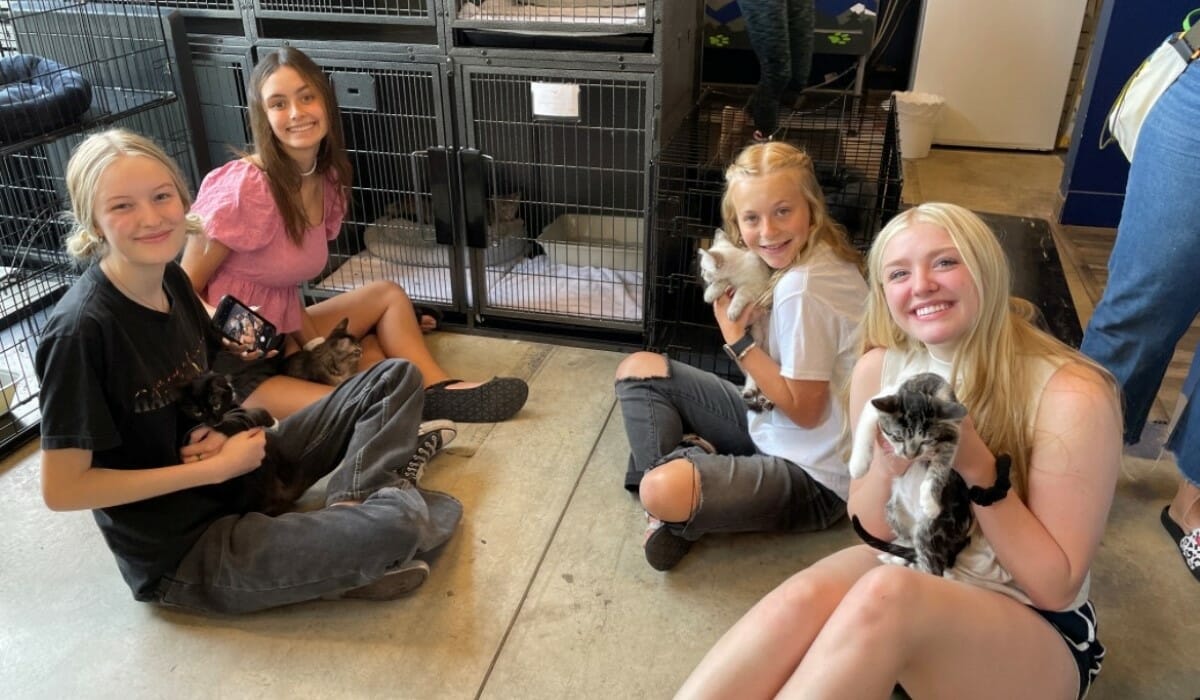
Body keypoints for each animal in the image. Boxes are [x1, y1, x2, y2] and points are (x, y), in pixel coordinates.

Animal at [700, 226, 772, 413]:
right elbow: (722, 283)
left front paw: (732, 311)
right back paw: (750, 391)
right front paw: (710, 294)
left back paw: (766, 399)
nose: (702, 274)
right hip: (757, 341)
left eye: (704, 269)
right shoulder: (729, 282)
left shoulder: (756, 289)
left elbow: (740, 293)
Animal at [844, 372, 974, 576]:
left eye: (926, 440)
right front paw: (858, 464)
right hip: (893, 510)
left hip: (932, 529)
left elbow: (942, 465)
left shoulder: (953, 431)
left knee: (933, 566)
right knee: (910, 541)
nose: (909, 455)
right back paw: (898, 557)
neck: (922, 387)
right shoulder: (882, 398)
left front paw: (930, 501)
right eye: (897, 437)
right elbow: (866, 423)